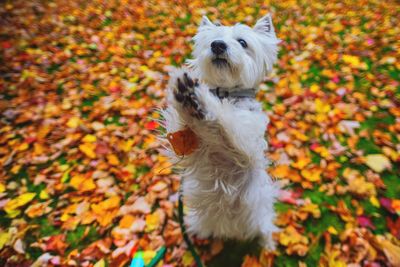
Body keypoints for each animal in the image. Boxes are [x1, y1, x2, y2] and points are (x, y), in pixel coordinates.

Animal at [162, 14, 282, 249]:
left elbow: (227, 120)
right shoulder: (187, 147)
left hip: (262, 217)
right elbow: (183, 132)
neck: (227, 93)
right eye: (213, 40)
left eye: (242, 42)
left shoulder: (246, 144)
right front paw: (184, 95)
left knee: (266, 232)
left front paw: (200, 100)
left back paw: (267, 246)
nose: (217, 45)